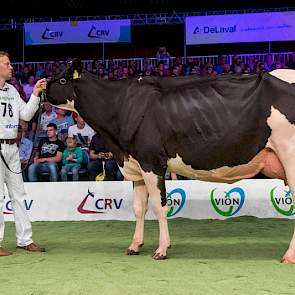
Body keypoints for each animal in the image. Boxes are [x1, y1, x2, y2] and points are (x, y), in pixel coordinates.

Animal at [46, 59, 295, 262]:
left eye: (61, 79)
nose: (42, 87)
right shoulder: (136, 164)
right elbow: (139, 208)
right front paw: (134, 246)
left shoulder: (152, 162)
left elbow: (159, 206)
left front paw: (161, 250)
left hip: (290, 156)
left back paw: (289, 256)